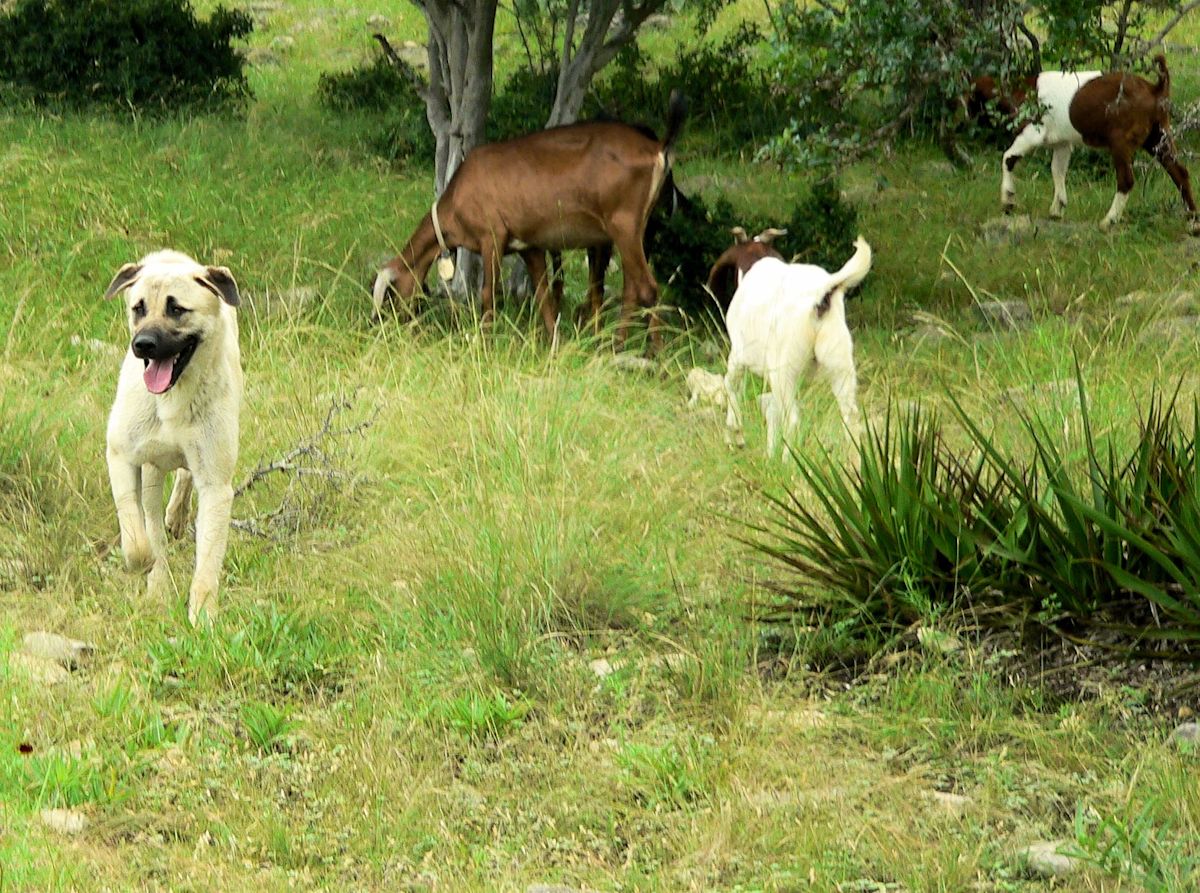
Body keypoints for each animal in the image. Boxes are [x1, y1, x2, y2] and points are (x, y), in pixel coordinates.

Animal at [104, 249, 242, 628]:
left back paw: (177, 515)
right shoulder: (120, 455)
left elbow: (207, 564)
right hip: (151, 472)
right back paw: (158, 585)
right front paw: (146, 564)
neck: (173, 398)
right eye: (138, 308)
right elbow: (138, 537)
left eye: (176, 309)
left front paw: (203, 620)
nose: (142, 345)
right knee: (151, 520)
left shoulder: (216, 485)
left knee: (182, 478)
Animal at [374, 90, 696, 348]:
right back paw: (617, 346)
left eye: (390, 295)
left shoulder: (492, 237)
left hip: (624, 226)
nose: (384, 330)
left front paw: (486, 343)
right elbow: (543, 295)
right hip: (633, 231)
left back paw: (655, 356)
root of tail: (657, 147)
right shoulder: (529, 247)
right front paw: (553, 343)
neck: (457, 197)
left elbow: (488, 294)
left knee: (647, 288)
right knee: (631, 289)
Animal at [720, 237, 873, 460]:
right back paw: (856, 463)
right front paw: (769, 453)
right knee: (850, 416)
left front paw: (735, 435)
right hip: (839, 361)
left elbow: (731, 385)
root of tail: (821, 292)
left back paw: (787, 460)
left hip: (784, 367)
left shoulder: (738, 355)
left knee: (792, 418)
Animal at [979, 54, 1195, 231]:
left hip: (1122, 141)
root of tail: (1155, 89)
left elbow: (1008, 158)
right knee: (1180, 172)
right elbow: (1057, 170)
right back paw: (1193, 221)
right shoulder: (1062, 144)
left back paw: (1108, 221)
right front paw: (1057, 209)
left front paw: (1008, 201)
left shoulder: (1032, 133)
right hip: (1159, 138)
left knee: (1126, 180)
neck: (1019, 90)